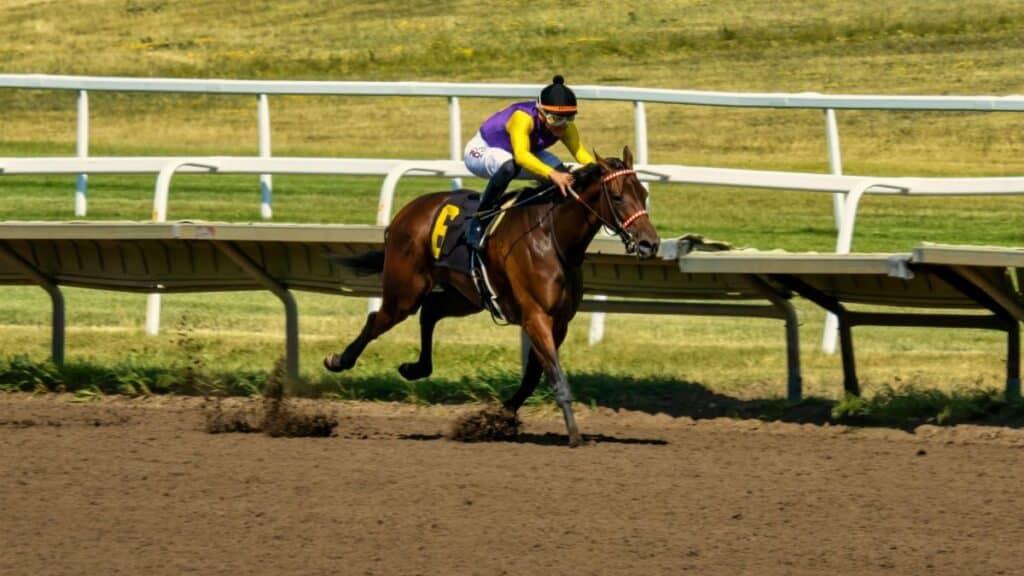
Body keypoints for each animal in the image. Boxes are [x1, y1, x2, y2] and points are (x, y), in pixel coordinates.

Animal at [324, 146, 659, 446]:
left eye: (643, 194)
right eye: (617, 197)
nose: (650, 243)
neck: (553, 237)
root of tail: (405, 213)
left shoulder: (559, 322)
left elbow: (533, 376)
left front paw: (494, 418)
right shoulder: (536, 316)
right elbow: (554, 375)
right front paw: (574, 435)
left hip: (466, 296)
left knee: (430, 310)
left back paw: (416, 368)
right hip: (406, 290)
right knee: (378, 319)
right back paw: (338, 360)